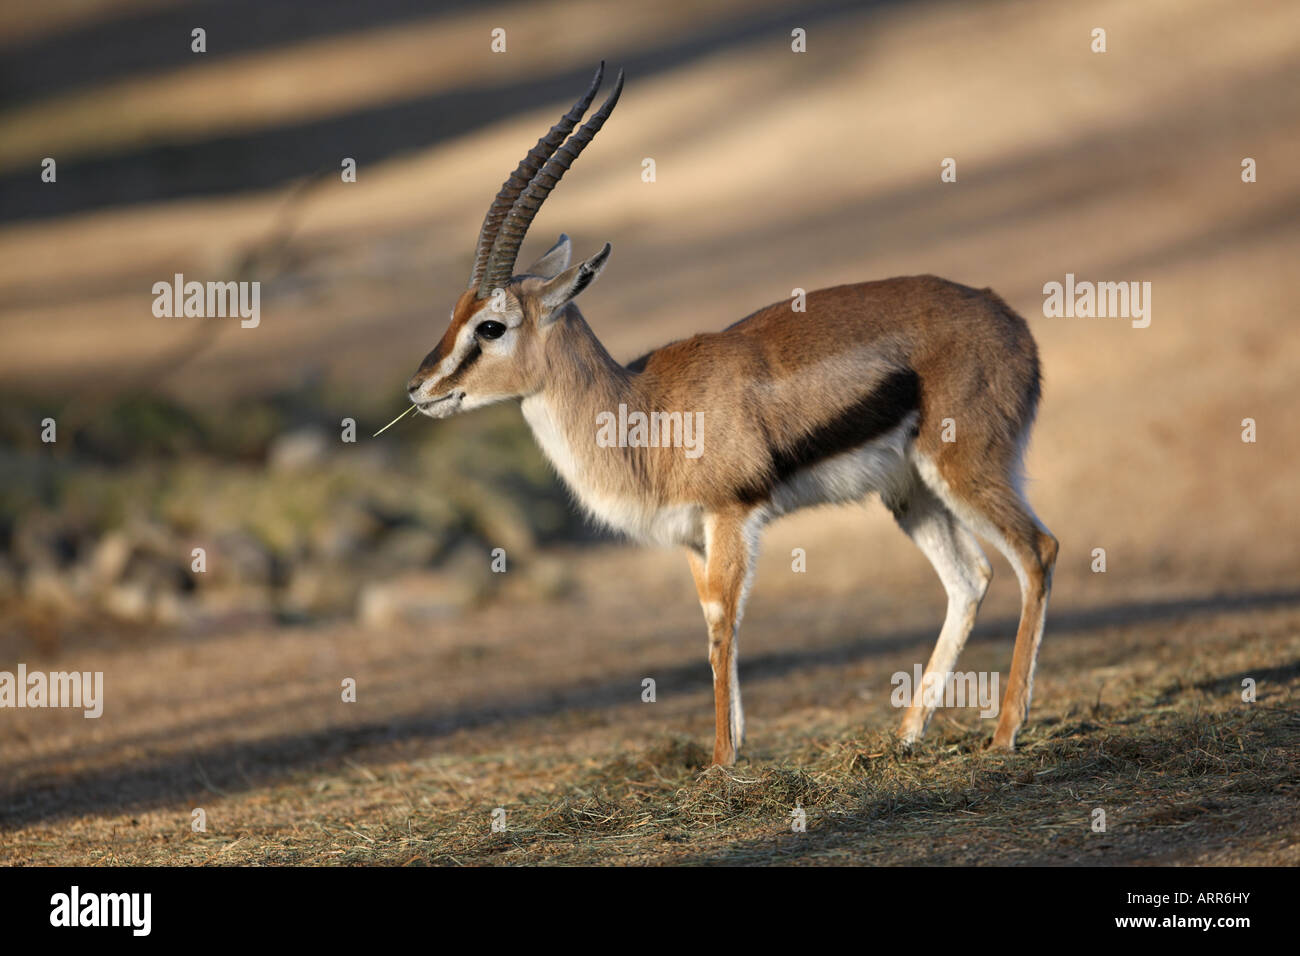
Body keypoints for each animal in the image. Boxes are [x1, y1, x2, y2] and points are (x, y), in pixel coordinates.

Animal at [406, 64, 1058, 766]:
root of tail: (1008, 317)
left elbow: (724, 625)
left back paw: (1004, 735)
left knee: (1036, 552)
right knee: (970, 578)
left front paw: (720, 765)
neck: (644, 412)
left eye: (490, 326)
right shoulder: (694, 535)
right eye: (455, 312)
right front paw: (734, 750)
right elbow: (716, 626)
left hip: (964, 470)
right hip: (910, 492)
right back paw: (907, 736)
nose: (419, 388)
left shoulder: (731, 518)